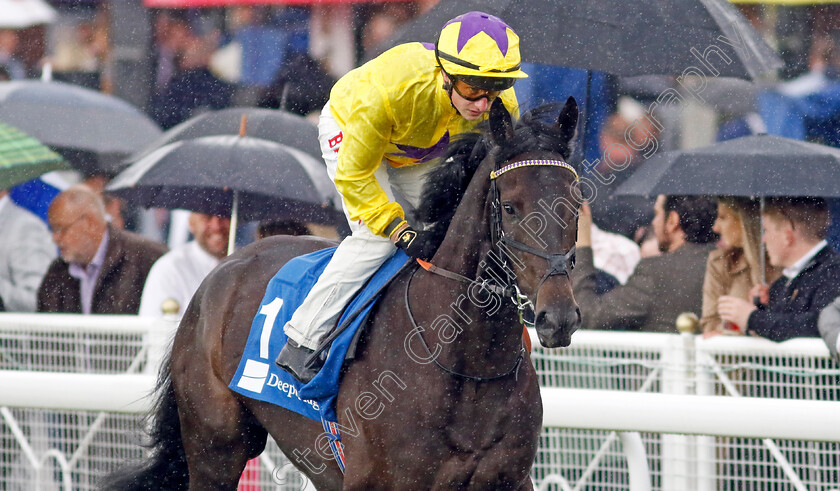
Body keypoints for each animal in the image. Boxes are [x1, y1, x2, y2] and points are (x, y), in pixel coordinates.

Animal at [103, 98, 576, 490]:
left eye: (575, 204)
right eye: (510, 207)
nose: (559, 317)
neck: (468, 366)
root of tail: (221, 270)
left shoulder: (510, 479)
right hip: (215, 444)